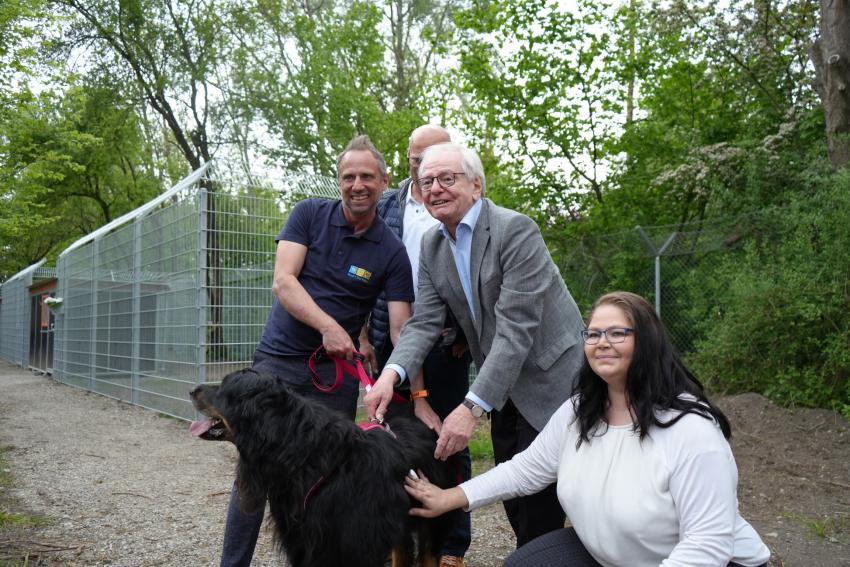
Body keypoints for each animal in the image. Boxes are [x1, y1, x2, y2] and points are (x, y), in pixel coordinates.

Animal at [190, 368, 460, 567]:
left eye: (225, 386)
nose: (193, 389)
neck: (305, 458)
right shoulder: (303, 543)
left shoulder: (356, 545)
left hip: (434, 515)